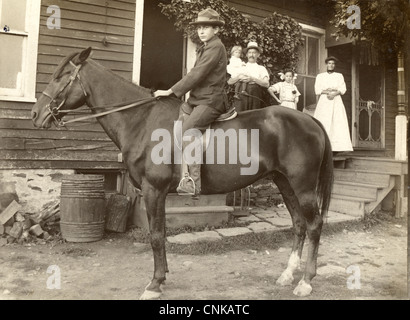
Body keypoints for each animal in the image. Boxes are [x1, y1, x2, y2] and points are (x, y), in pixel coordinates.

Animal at [31, 48, 334, 300]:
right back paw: (287, 274)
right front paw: (162, 277)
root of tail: (310, 120)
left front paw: (154, 284)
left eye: (61, 77)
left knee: (314, 224)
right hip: (285, 183)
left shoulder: (153, 189)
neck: (141, 120)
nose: (35, 114)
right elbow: (162, 233)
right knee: (298, 224)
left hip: (303, 186)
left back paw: (305, 281)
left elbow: (155, 235)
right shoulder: (158, 193)